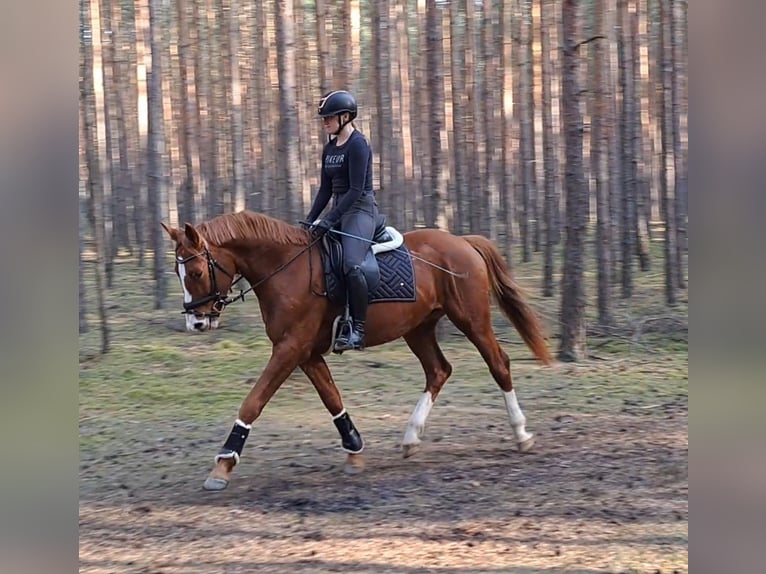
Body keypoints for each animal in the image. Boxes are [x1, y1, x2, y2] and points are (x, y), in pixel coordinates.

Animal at [162, 214, 556, 492]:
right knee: (438, 370)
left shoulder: (290, 349)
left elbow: (253, 402)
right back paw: (411, 438)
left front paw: (223, 464)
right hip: (418, 328)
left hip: (471, 320)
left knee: (498, 364)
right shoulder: (306, 353)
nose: (196, 322)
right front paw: (354, 448)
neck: (285, 268)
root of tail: (462, 242)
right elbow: (331, 397)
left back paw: (522, 435)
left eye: (194, 271)